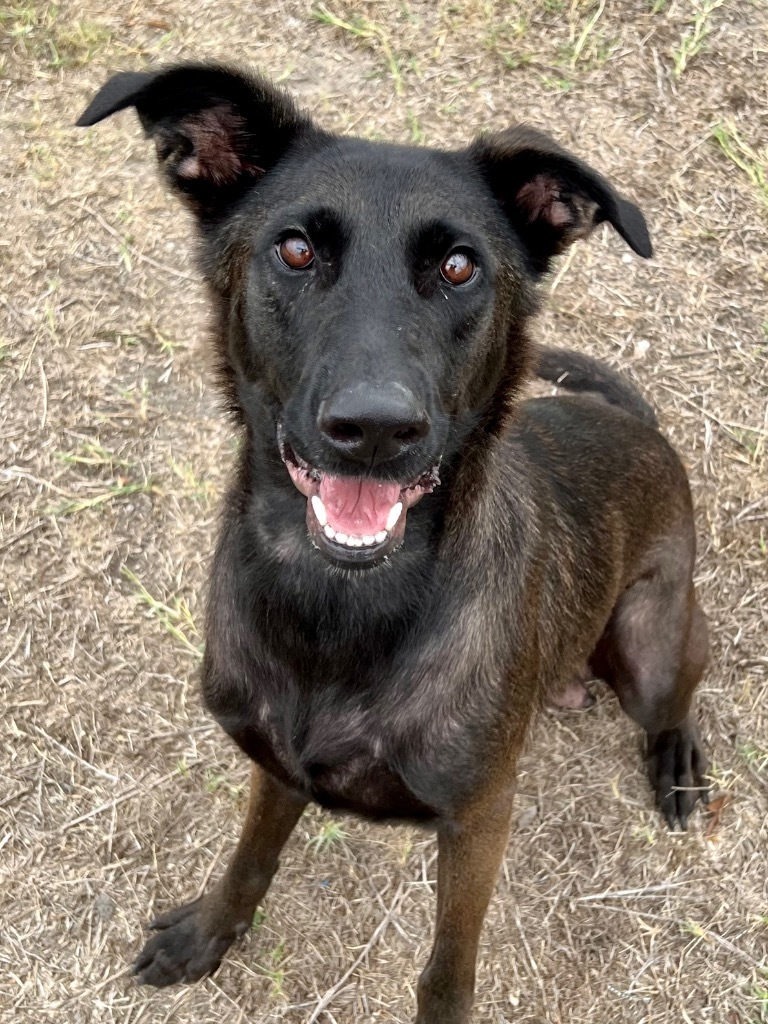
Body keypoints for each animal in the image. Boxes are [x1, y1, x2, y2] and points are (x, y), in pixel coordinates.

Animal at [78, 64, 709, 1022]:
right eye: (296, 251)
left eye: (458, 266)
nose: (375, 428)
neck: (337, 606)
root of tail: (642, 428)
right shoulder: (275, 765)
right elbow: (250, 858)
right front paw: (206, 936)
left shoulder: (479, 820)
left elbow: (448, 967)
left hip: (648, 650)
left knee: (677, 693)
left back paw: (676, 758)